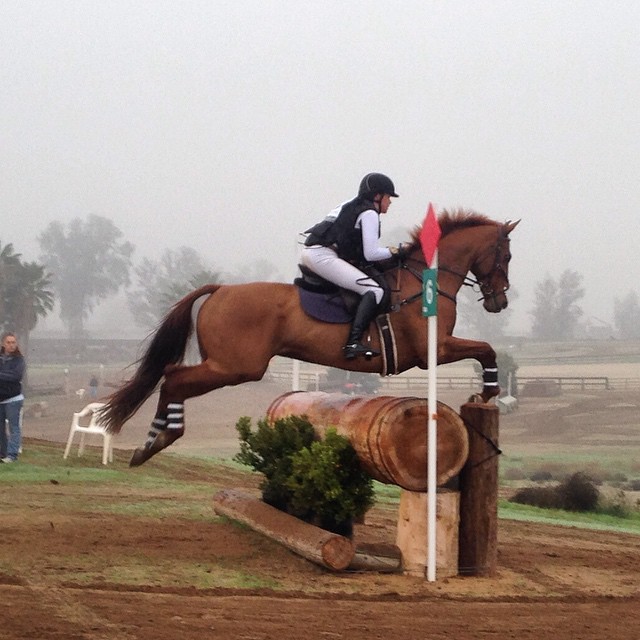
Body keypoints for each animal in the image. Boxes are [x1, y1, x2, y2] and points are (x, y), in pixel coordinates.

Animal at [102, 210, 516, 464]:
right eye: (507, 256)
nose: (500, 301)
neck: (426, 280)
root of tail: (220, 289)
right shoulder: (434, 349)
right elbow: (487, 350)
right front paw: (489, 392)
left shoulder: (436, 349)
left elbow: (484, 350)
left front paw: (486, 393)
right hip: (235, 367)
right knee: (174, 377)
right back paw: (159, 440)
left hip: (228, 365)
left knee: (172, 377)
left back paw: (151, 443)